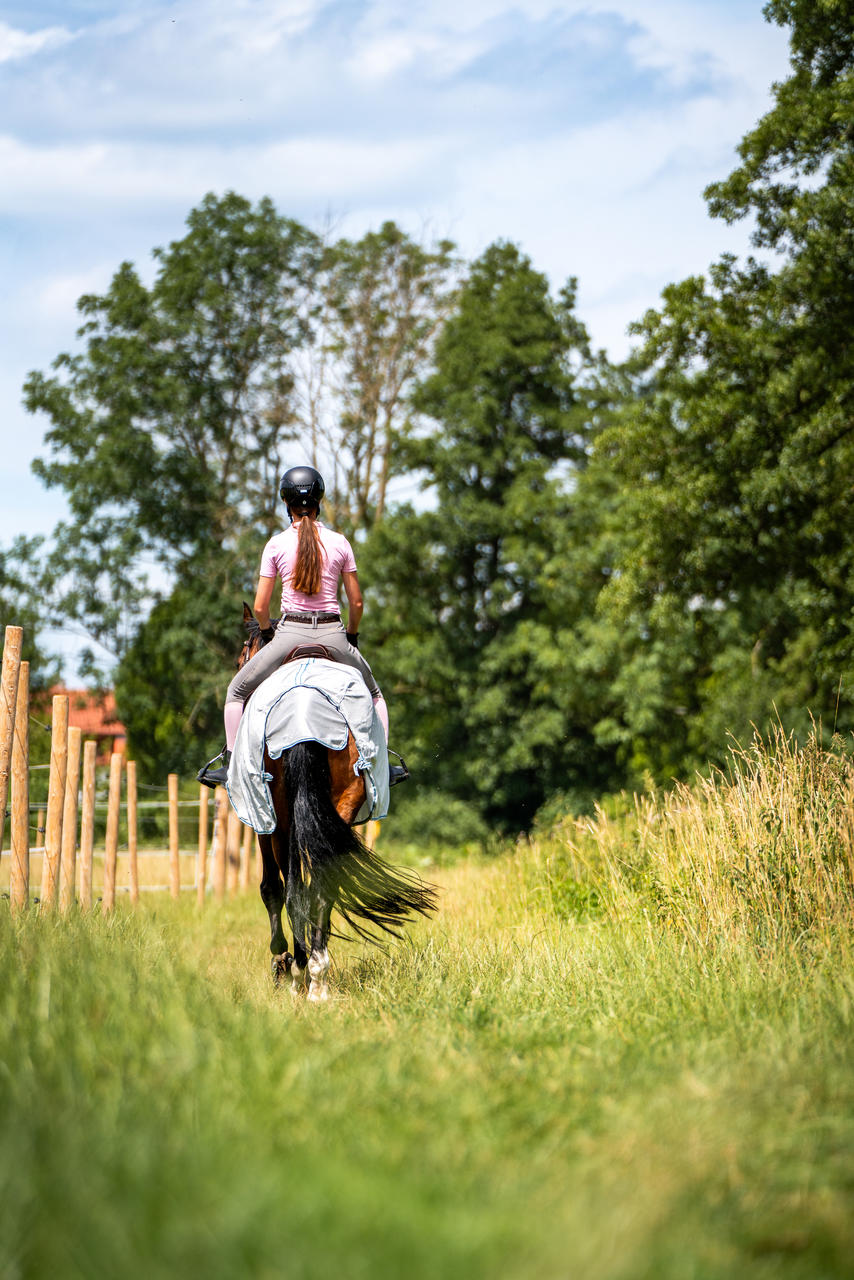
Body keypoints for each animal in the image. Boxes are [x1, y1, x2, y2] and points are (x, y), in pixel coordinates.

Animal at [234, 604, 437, 1003]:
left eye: (241, 658)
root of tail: (303, 715)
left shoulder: (263, 824)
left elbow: (270, 888)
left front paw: (280, 962)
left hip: (282, 819)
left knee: (294, 887)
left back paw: (300, 972)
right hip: (339, 804)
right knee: (324, 883)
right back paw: (317, 974)